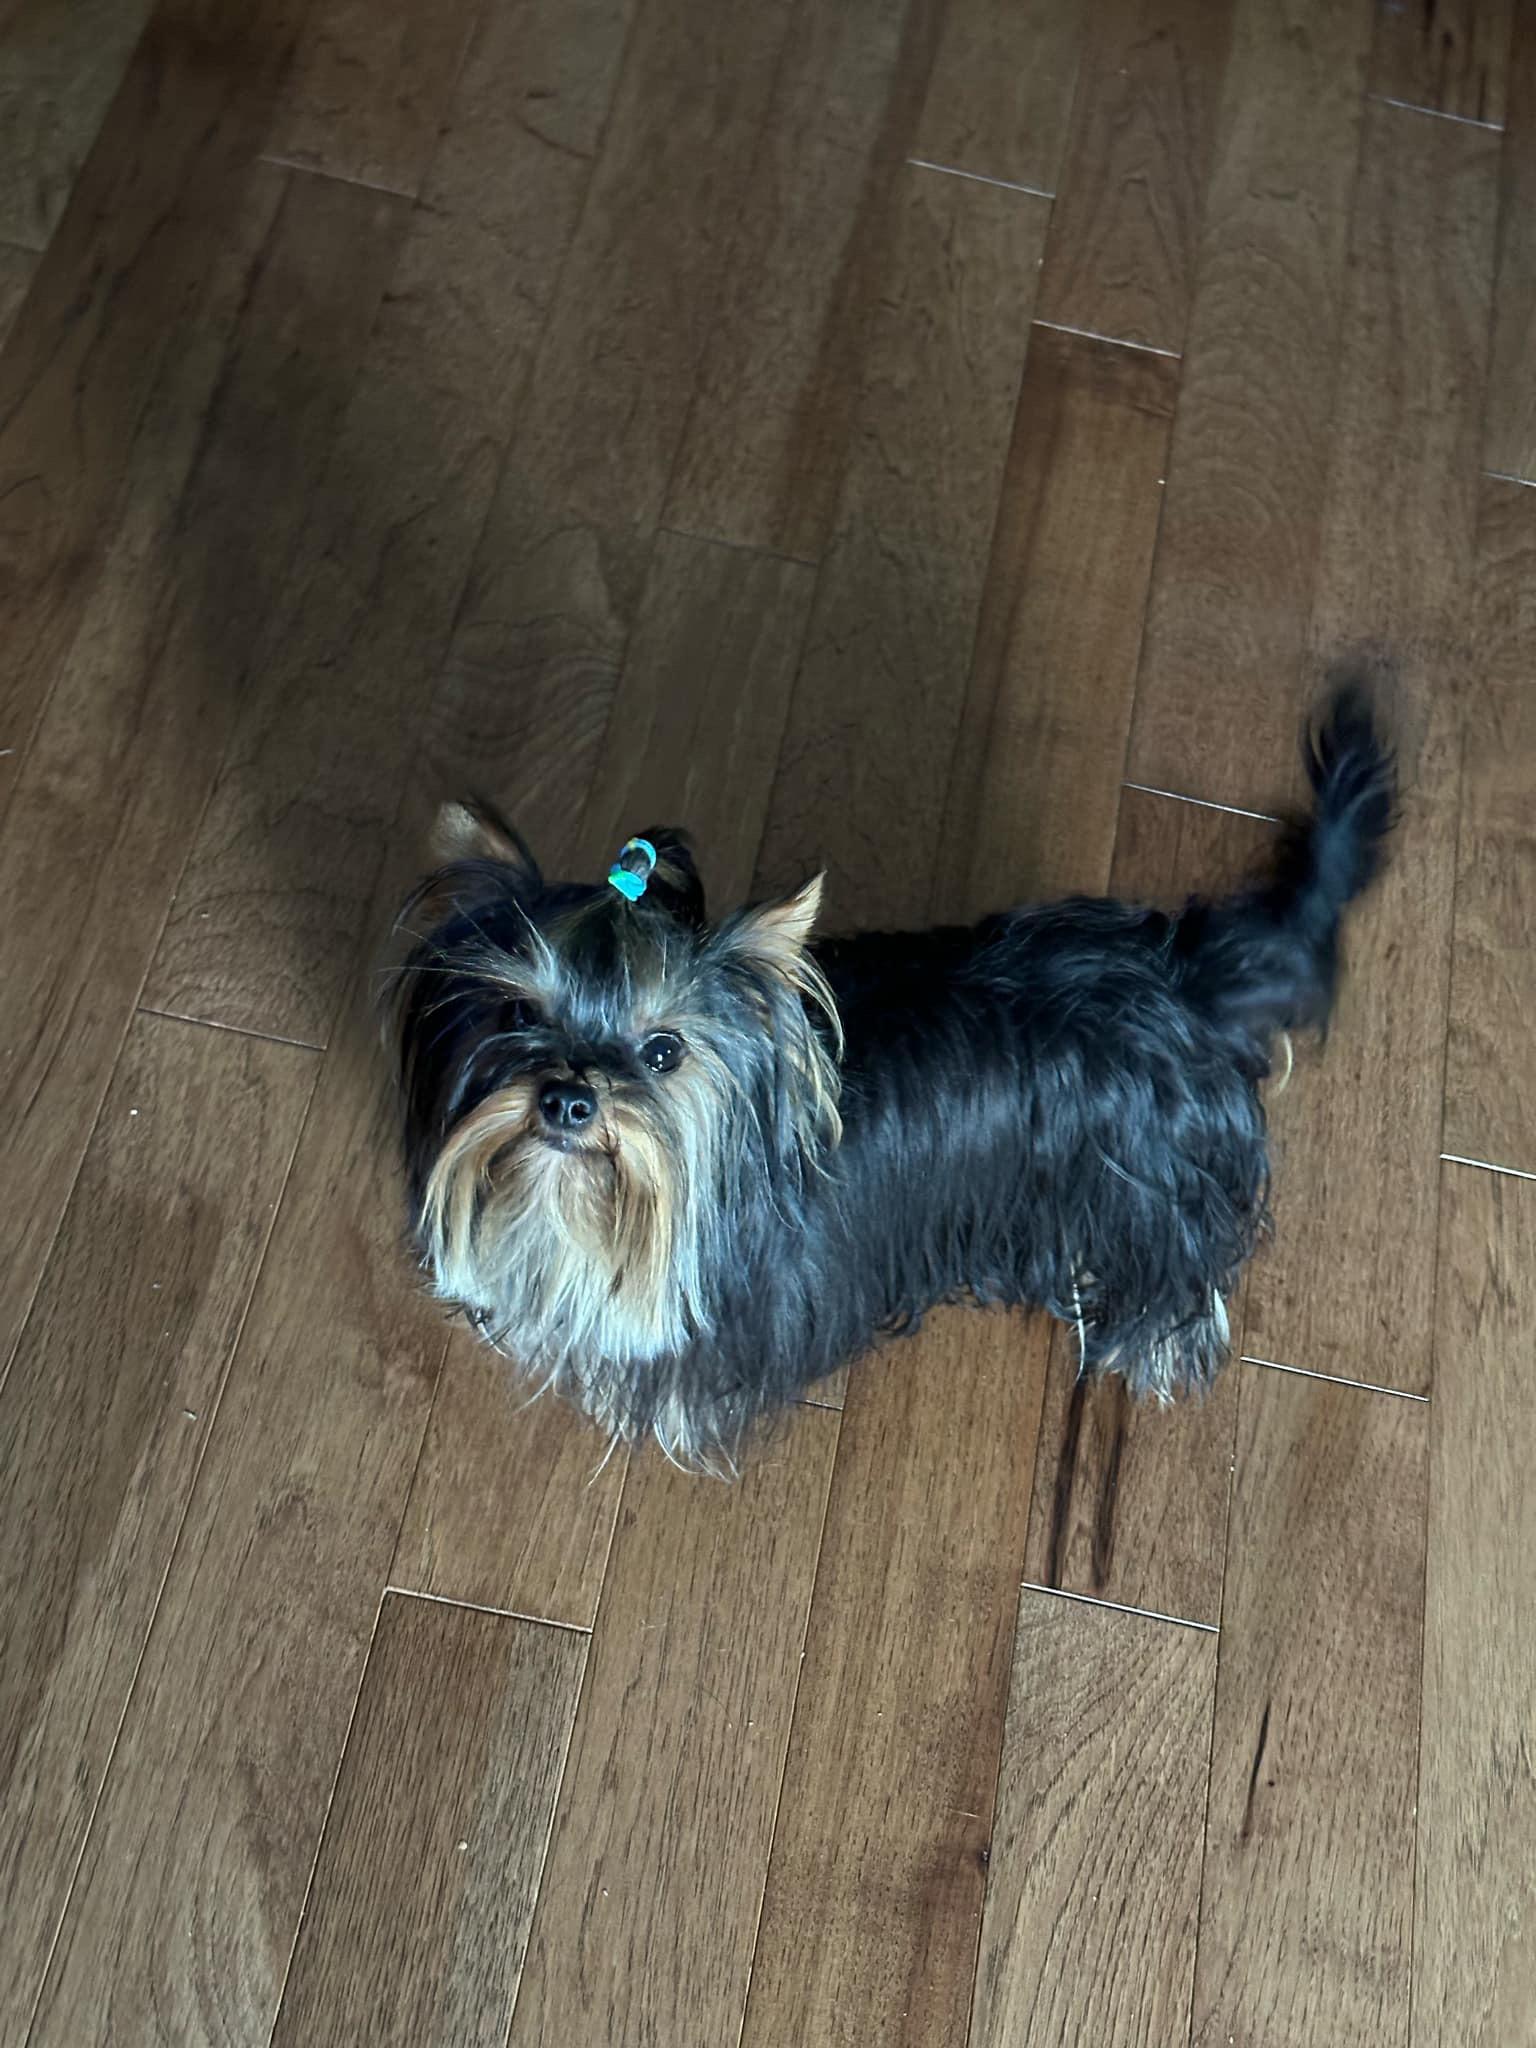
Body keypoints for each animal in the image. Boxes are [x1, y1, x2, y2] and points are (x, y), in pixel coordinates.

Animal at [387, 685, 1394, 1472]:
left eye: (664, 1050)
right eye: (518, 1015)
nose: (568, 1098)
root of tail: (1180, 974)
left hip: (1151, 1193)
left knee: (1179, 1276)